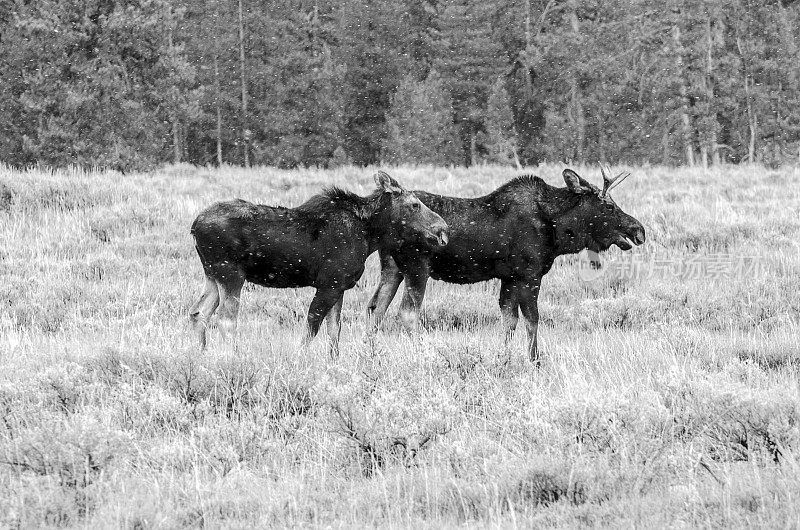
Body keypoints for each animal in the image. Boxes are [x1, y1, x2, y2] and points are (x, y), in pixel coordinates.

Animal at [189, 171, 450, 352]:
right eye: (414, 204)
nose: (443, 228)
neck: (370, 235)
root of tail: (194, 226)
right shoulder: (328, 283)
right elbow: (312, 327)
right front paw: (300, 357)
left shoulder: (339, 286)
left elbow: (334, 330)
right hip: (231, 273)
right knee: (225, 319)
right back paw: (235, 357)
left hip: (212, 274)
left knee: (198, 312)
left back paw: (200, 355)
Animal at [368, 167, 644, 360]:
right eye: (608, 205)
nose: (638, 230)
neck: (557, 230)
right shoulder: (529, 274)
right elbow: (532, 319)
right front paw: (534, 361)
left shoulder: (509, 277)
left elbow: (509, 320)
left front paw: (506, 357)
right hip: (417, 269)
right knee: (406, 313)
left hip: (392, 269)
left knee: (375, 308)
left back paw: (370, 353)